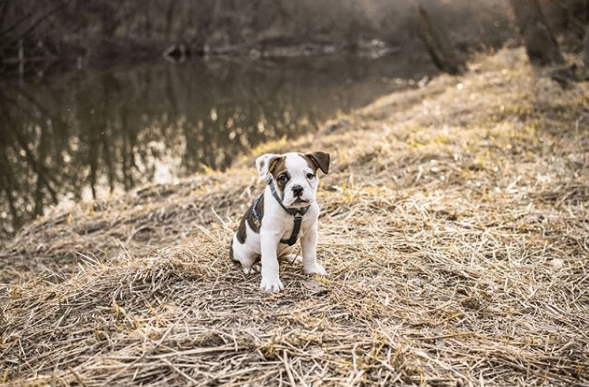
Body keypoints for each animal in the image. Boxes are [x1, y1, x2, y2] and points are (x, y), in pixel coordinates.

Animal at [230, 152, 330, 292]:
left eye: (309, 175)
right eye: (282, 178)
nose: (297, 188)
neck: (295, 211)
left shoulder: (310, 233)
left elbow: (310, 253)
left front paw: (312, 269)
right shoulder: (270, 236)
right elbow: (271, 262)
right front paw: (271, 282)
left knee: (281, 256)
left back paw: (292, 258)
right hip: (243, 253)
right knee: (242, 262)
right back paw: (250, 267)